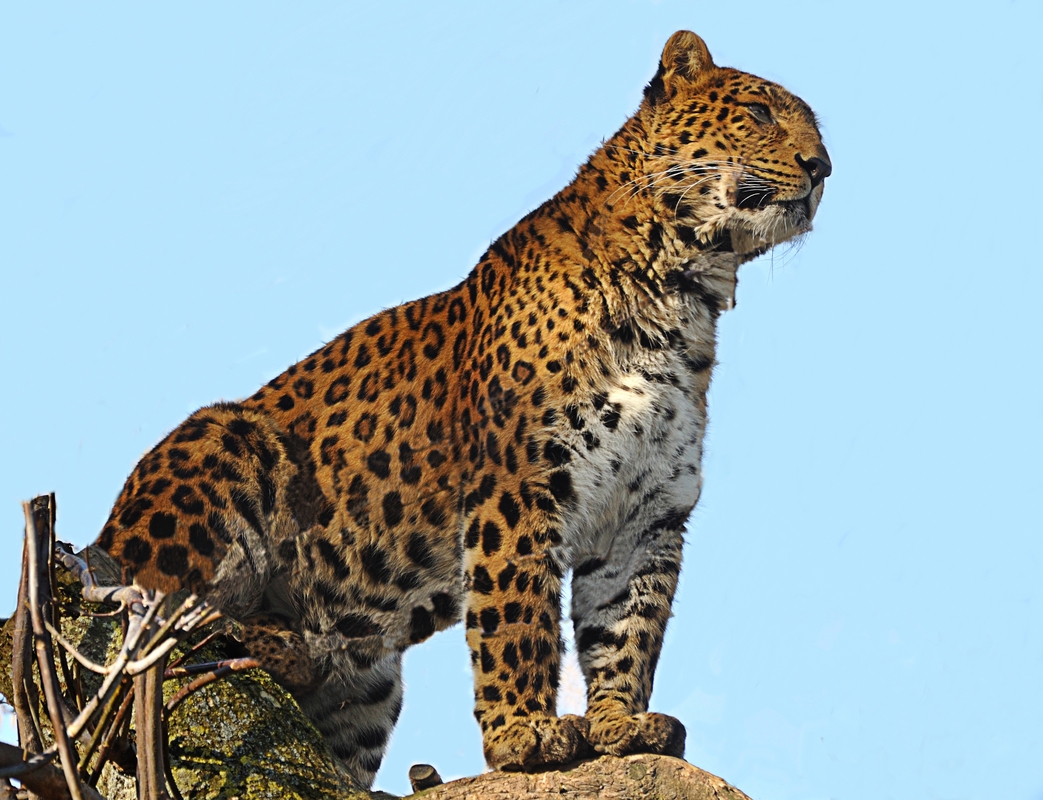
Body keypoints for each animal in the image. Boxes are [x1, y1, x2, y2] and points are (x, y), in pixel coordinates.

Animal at [94, 30, 830, 788]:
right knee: (169, 607)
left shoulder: (647, 515)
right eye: (758, 112)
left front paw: (621, 724)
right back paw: (266, 634)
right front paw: (524, 733)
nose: (822, 167)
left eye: (815, 130)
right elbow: (517, 616)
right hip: (220, 438)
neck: (683, 291)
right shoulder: (521, 486)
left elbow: (626, 628)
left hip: (371, 690)